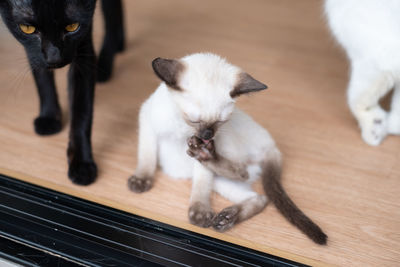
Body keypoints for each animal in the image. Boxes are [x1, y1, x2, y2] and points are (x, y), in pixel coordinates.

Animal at [0, 0, 124, 185]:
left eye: (72, 27)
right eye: (27, 29)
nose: (54, 58)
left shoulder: (83, 50)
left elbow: (81, 112)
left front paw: (81, 163)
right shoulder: (32, 51)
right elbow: (42, 80)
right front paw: (49, 117)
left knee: (112, 17)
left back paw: (106, 63)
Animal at [130, 53, 326, 246]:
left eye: (220, 122)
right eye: (194, 120)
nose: (207, 135)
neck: (183, 130)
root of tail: (271, 145)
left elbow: (201, 185)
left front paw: (199, 212)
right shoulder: (147, 120)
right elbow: (147, 158)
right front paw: (141, 181)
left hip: (225, 151)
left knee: (243, 174)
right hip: (220, 181)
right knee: (259, 196)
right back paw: (226, 218)